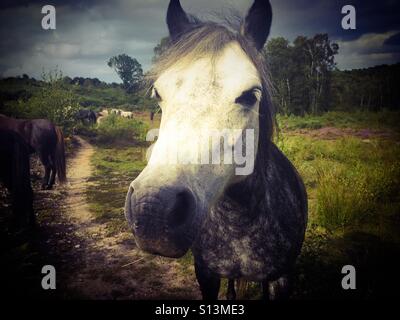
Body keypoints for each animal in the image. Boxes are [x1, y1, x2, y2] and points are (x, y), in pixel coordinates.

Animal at [123, 0, 308, 300]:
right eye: (158, 93)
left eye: (250, 95)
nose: (152, 208)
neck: (239, 222)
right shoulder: (206, 273)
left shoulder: (280, 279)